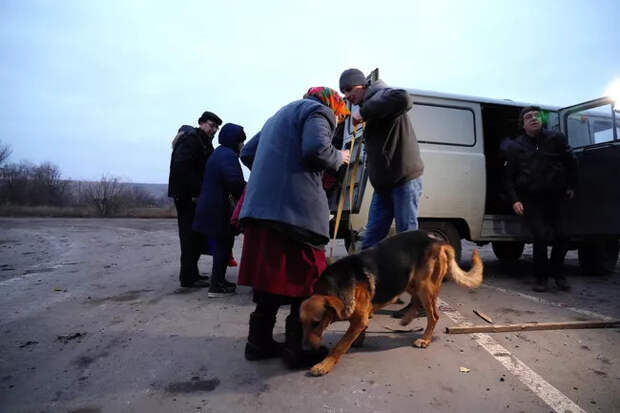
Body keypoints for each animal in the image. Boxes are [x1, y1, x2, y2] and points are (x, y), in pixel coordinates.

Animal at [300, 230, 484, 374]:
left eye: (316, 323)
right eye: (301, 323)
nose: (306, 350)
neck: (335, 285)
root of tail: (437, 240)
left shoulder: (359, 319)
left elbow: (340, 345)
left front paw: (324, 364)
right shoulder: (361, 318)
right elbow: (356, 333)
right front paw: (358, 340)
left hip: (425, 285)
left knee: (433, 315)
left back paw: (425, 339)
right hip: (408, 281)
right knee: (416, 300)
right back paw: (407, 319)